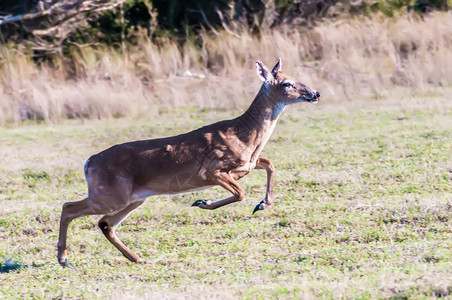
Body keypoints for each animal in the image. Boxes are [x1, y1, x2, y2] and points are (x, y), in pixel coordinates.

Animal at [57, 58, 318, 264]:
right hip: (110, 195)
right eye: (286, 83)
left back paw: (138, 259)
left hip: (132, 198)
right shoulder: (211, 169)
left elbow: (268, 164)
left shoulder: (245, 165)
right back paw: (64, 258)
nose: (315, 93)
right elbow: (241, 193)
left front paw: (262, 204)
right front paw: (202, 202)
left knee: (104, 223)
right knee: (69, 207)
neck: (243, 134)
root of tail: (88, 163)